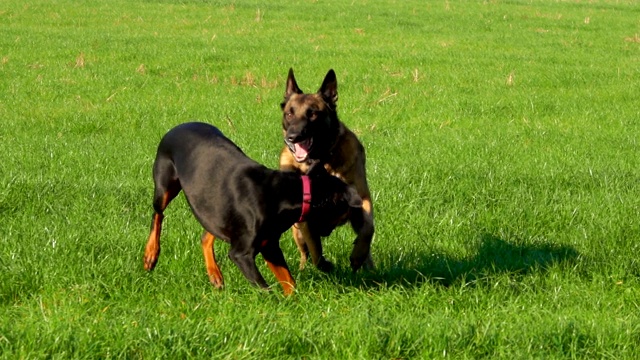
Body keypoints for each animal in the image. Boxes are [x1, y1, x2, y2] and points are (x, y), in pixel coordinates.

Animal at [143, 122, 360, 294]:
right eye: (342, 215)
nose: (327, 233)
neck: (284, 195)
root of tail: (175, 128)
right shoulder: (242, 254)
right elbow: (264, 288)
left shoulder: (269, 245)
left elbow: (289, 282)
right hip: (165, 186)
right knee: (158, 214)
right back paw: (151, 255)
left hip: (214, 209)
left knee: (205, 235)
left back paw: (214, 274)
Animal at [278, 69, 376, 272]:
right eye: (289, 114)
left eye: (313, 114)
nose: (292, 137)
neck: (321, 163)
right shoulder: (304, 217)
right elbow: (314, 246)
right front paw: (323, 265)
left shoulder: (362, 198)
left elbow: (369, 228)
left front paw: (357, 256)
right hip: (296, 231)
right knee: (304, 252)